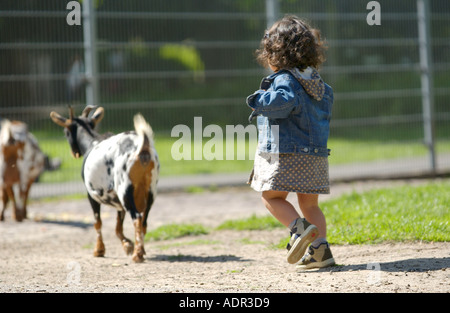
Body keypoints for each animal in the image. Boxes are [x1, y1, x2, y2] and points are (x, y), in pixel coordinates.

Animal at [50, 106, 160, 262]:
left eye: (66, 133)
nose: (73, 153)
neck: (92, 143)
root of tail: (141, 147)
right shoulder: (118, 202)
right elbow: (118, 227)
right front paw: (127, 245)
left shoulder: (92, 195)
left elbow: (98, 223)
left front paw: (99, 250)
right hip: (150, 191)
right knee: (144, 222)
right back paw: (141, 250)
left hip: (125, 190)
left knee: (137, 218)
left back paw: (137, 255)